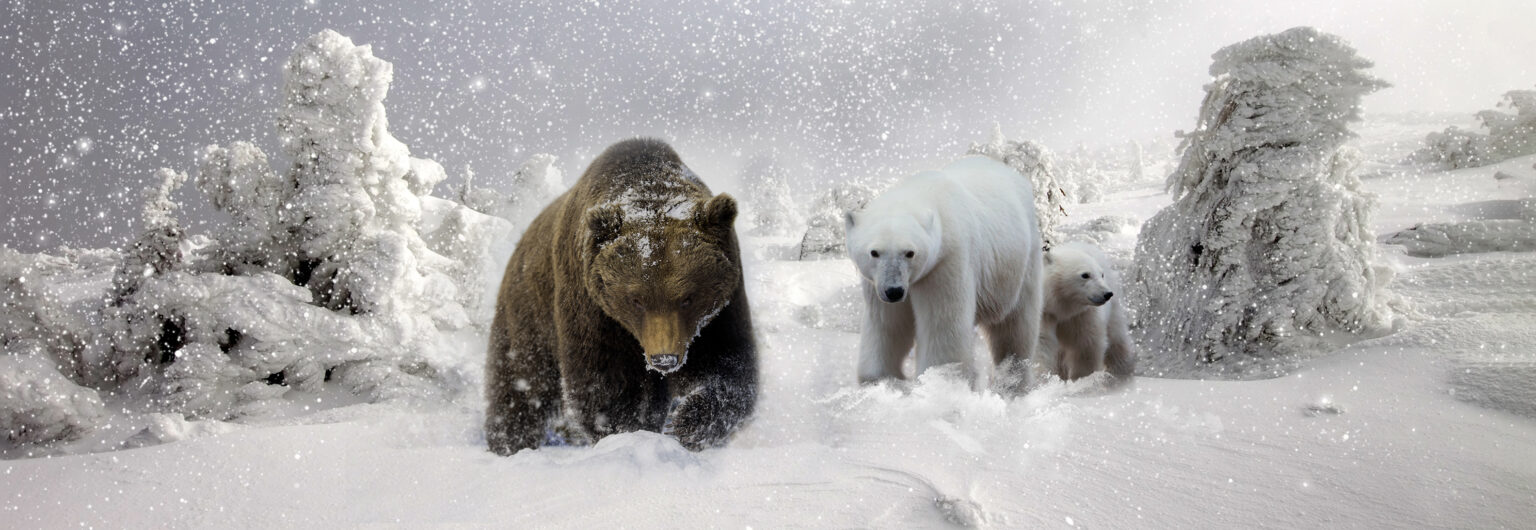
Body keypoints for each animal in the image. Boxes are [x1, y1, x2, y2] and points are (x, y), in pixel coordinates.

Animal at [483, 138, 758, 455]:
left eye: (687, 297)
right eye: (636, 299)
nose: (664, 358)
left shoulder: (718, 311)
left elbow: (726, 366)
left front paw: (688, 423)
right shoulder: (595, 309)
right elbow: (606, 381)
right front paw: (628, 432)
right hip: (529, 309)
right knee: (521, 379)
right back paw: (509, 440)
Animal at [844, 155, 1044, 390]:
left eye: (910, 253)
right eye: (874, 252)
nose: (894, 291)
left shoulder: (945, 262)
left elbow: (943, 326)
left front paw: (939, 381)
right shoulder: (876, 284)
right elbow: (888, 324)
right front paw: (882, 379)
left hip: (1019, 265)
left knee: (1016, 326)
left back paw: (1014, 381)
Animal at [1036, 241, 1135, 382]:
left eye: (1101, 274)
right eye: (1085, 275)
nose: (1107, 294)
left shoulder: (1082, 315)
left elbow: (1086, 345)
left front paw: (1081, 379)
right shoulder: (1044, 313)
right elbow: (1040, 343)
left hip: (1113, 306)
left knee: (1116, 336)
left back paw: (1121, 368)